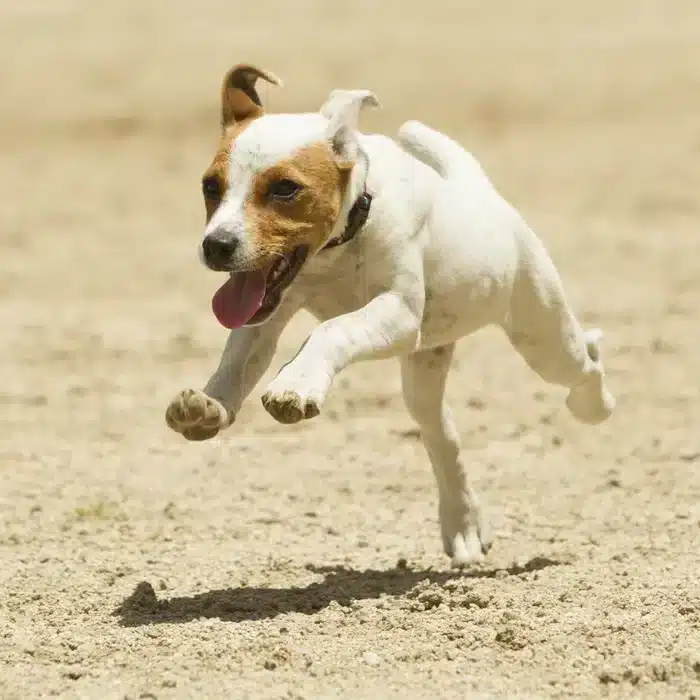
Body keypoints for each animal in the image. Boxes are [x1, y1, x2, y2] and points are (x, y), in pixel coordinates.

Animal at [167, 63, 616, 568]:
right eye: (210, 186)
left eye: (285, 188)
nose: (216, 245)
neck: (338, 247)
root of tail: (480, 190)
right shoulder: (266, 311)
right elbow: (238, 363)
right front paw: (209, 406)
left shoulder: (398, 313)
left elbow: (332, 329)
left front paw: (296, 384)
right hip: (425, 369)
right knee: (442, 434)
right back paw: (463, 525)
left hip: (540, 332)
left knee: (585, 357)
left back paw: (594, 405)